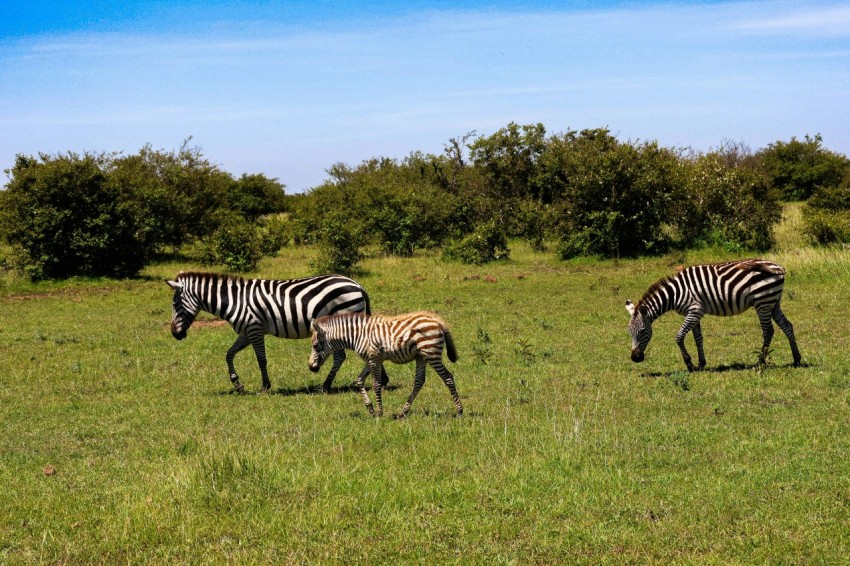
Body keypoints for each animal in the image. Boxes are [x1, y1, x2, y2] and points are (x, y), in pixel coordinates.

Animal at [167, 272, 388, 393]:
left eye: (175, 304)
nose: (175, 334)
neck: (234, 300)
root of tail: (356, 284)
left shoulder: (255, 329)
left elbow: (261, 359)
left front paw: (265, 386)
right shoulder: (246, 332)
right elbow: (229, 354)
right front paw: (237, 384)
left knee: (342, 356)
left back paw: (326, 385)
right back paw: (382, 381)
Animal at [308, 311, 462, 418]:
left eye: (315, 346)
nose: (310, 367)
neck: (358, 336)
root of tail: (438, 321)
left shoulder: (374, 359)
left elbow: (376, 384)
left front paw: (379, 412)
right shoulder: (371, 359)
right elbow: (359, 380)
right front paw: (370, 408)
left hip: (431, 354)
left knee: (448, 377)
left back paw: (459, 411)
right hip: (421, 357)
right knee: (419, 381)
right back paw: (402, 413)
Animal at [625, 258, 802, 371]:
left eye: (642, 331)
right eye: (629, 332)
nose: (635, 358)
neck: (676, 293)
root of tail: (777, 267)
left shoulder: (695, 311)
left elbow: (679, 336)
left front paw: (689, 364)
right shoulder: (694, 313)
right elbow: (698, 338)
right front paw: (701, 363)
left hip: (763, 302)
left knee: (768, 331)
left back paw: (761, 361)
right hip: (773, 302)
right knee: (787, 326)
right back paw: (796, 359)